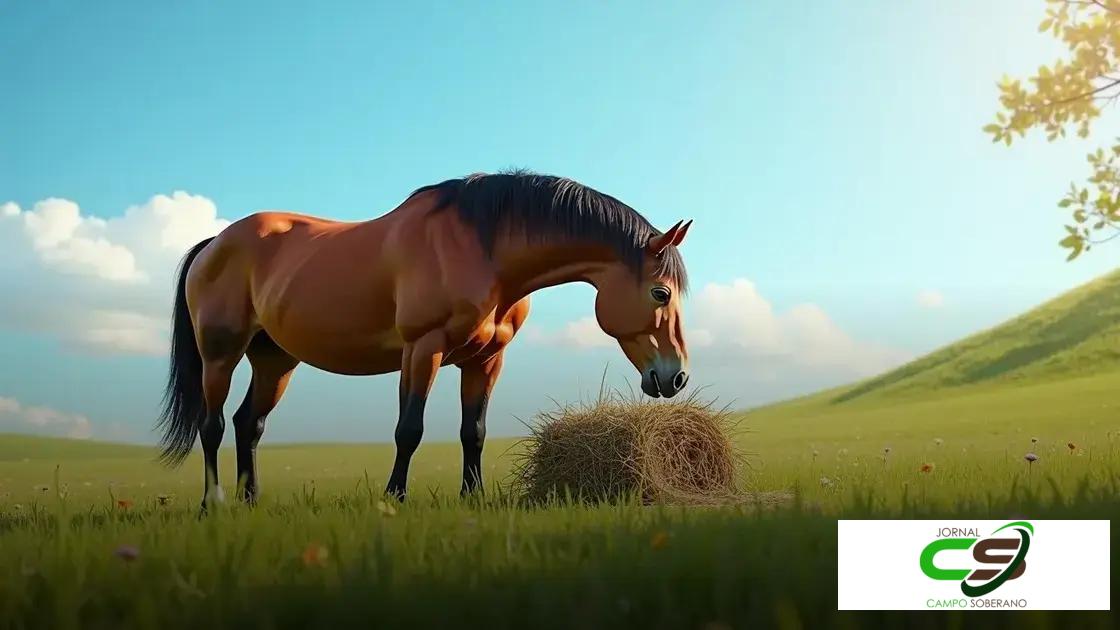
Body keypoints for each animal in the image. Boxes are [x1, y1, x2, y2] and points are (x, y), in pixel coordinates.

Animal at [155, 170, 692, 509]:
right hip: (220, 354)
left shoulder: (486, 360)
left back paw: (250, 501)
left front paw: (472, 497)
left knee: (249, 424)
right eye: (661, 292)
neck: (481, 249)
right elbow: (408, 428)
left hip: (275, 361)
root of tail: (215, 243)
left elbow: (473, 431)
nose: (676, 377)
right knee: (212, 426)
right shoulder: (422, 348)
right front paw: (394, 498)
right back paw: (213, 504)